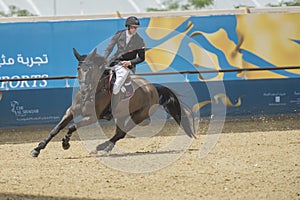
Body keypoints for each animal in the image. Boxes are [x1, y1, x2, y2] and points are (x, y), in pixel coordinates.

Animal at [29, 47, 195, 157]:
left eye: (90, 68)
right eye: (78, 68)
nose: (83, 89)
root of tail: (152, 87)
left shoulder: (93, 117)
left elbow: (71, 127)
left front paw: (65, 143)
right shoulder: (70, 112)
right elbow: (55, 129)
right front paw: (37, 149)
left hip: (138, 115)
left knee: (122, 133)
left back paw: (101, 147)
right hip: (121, 115)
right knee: (119, 132)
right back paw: (106, 147)